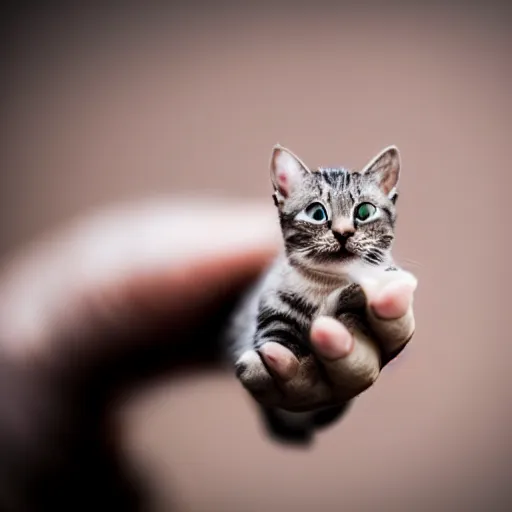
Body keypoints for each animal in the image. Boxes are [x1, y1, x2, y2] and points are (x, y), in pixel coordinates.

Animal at [225, 144, 416, 444]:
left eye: (364, 211)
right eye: (317, 213)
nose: (343, 232)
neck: (326, 283)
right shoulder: (271, 308)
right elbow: (272, 339)